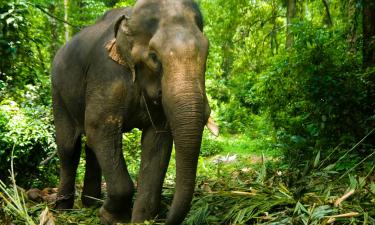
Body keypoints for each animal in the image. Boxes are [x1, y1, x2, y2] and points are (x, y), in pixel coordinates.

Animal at [51, 0, 219, 225]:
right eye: (154, 57)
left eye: (207, 54)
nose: (165, 218)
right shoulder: (107, 74)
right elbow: (99, 128)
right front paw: (110, 217)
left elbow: (157, 141)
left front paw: (140, 220)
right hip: (58, 92)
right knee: (69, 147)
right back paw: (64, 211)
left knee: (90, 147)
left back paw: (90, 204)